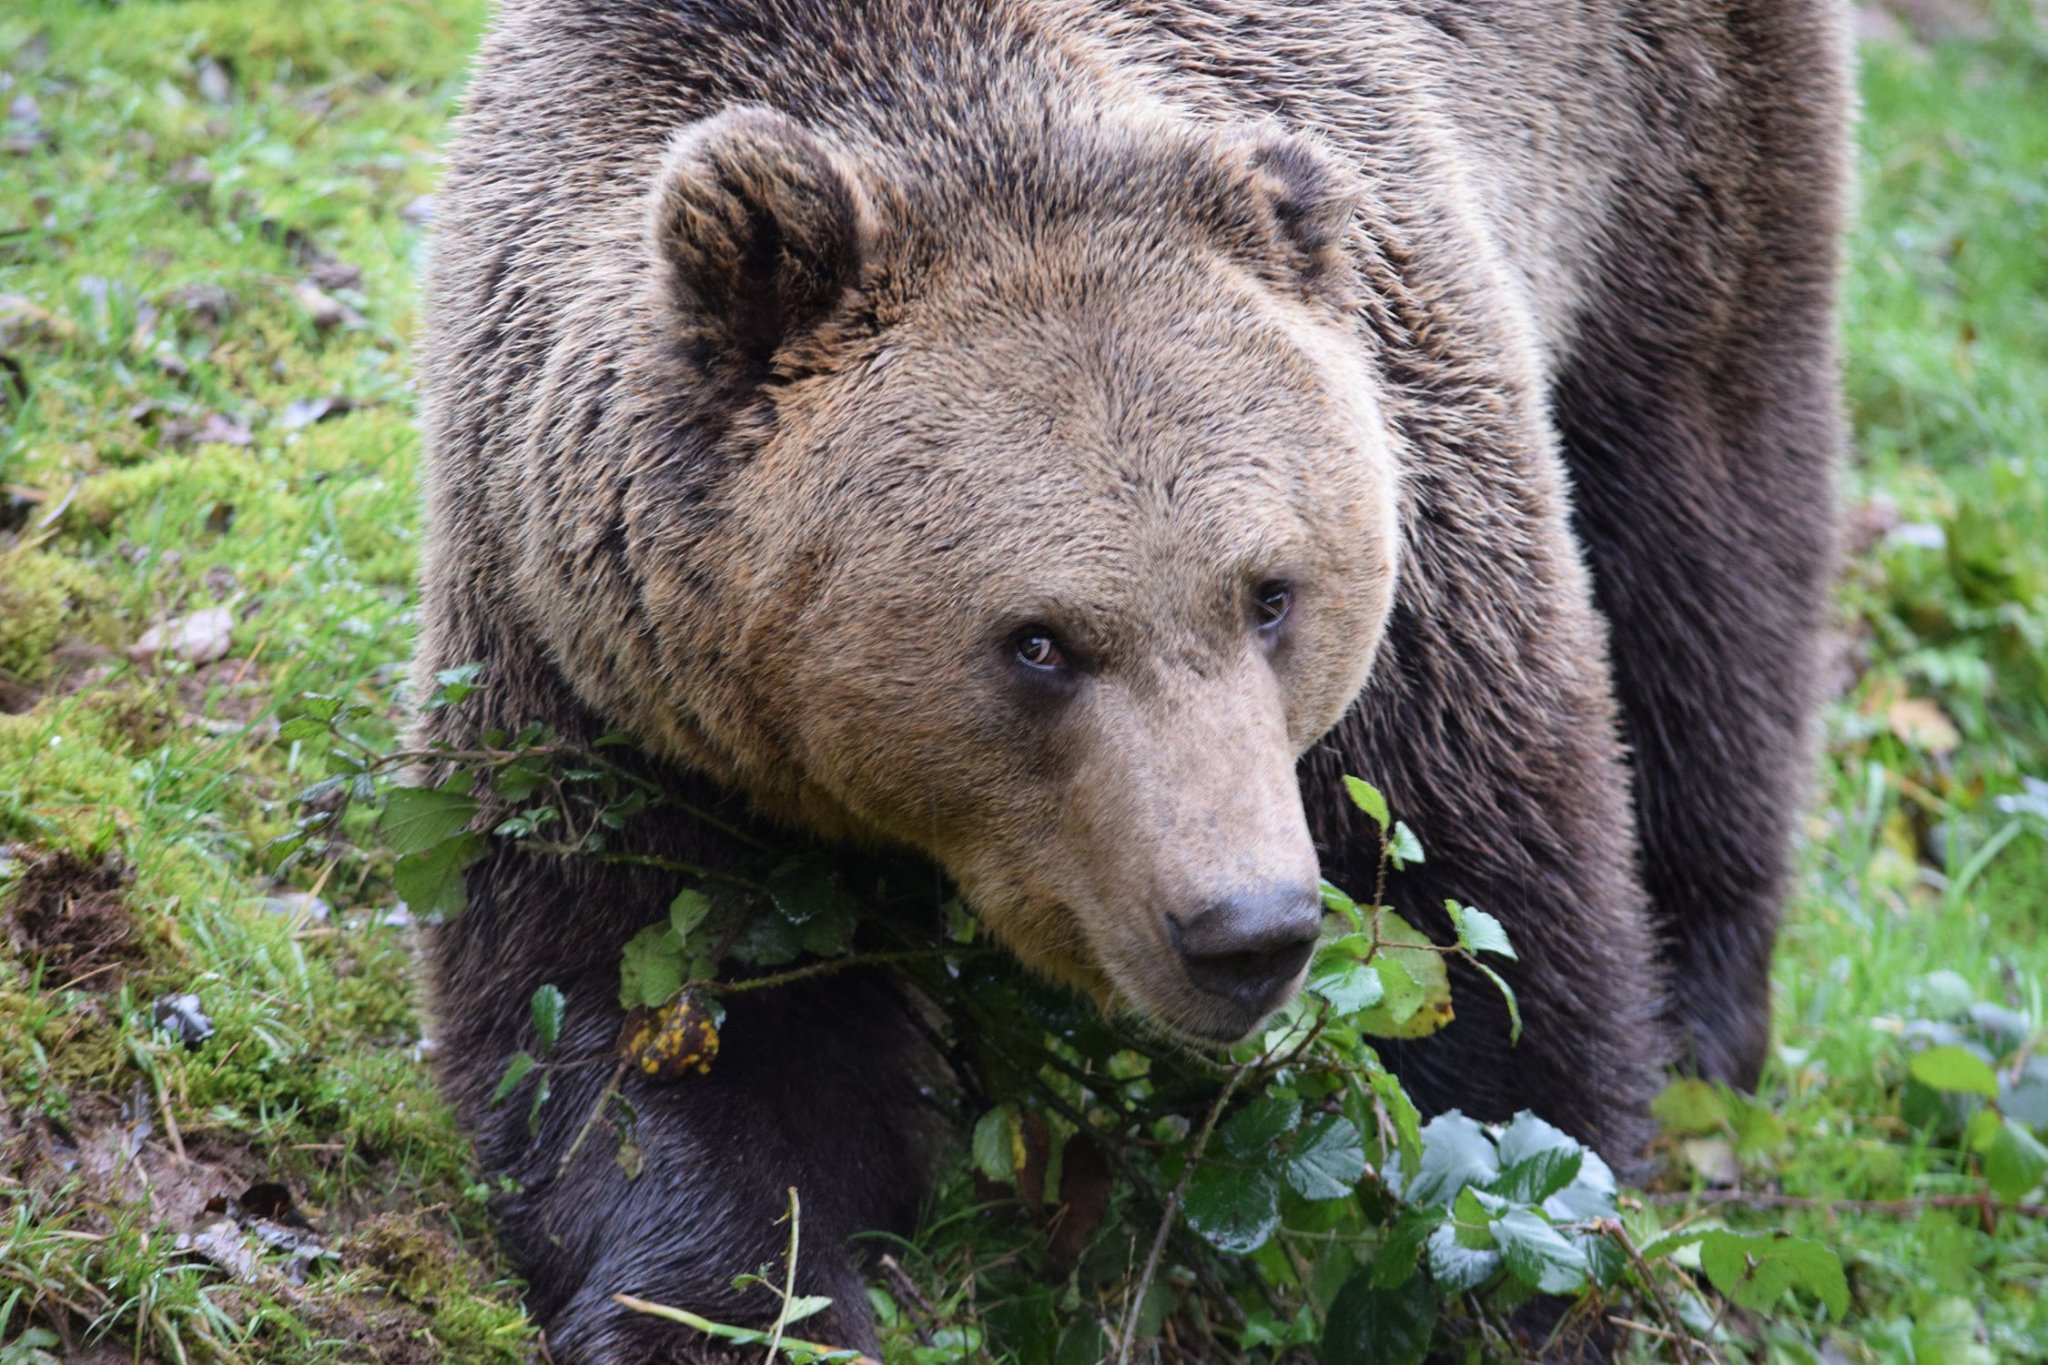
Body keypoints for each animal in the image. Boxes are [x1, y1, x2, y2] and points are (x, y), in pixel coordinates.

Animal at [411, 0, 1849, 1358]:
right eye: (1037, 640)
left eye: (1270, 594)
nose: (1245, 928)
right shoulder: (605, 667)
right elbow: (641, 1003)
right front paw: (717, 1309)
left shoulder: (1421, 518)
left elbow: (1486, 917)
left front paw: (1535, 1268)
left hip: (1676, 156)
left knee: (1706, 545)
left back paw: (1701, 1017)